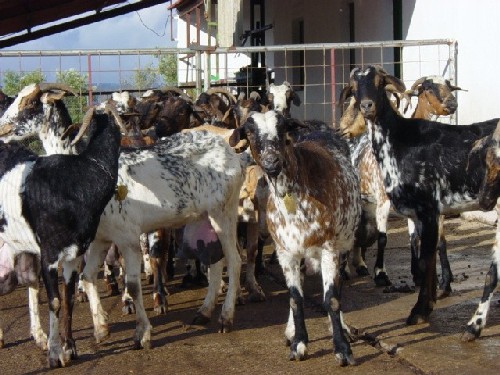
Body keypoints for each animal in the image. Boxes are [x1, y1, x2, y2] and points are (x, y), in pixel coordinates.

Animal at [0, 105, 123, 368]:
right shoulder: (49, 255)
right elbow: (55, 301)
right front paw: (55, 354)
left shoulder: (74, 254)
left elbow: (68, 299)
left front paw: (70, 348)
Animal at [229, 110, 362, 366]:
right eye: (250, 132)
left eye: (282, 128)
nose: (272, 161)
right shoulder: (285, 252)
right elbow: (295, 298)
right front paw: (299, 342)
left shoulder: (330, 248)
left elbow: (331, 298)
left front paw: (342, 348)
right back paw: (291, 331)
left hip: (344, 244)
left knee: (338, 290)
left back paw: (341, 327)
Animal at [346, 65, 498, 326]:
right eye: (354, 86)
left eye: (379, 81)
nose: (367, 106)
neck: (400, 138)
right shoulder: (421, 213)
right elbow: (424, 251)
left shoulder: (427, 210)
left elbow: (427, 258)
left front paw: (419, 310)